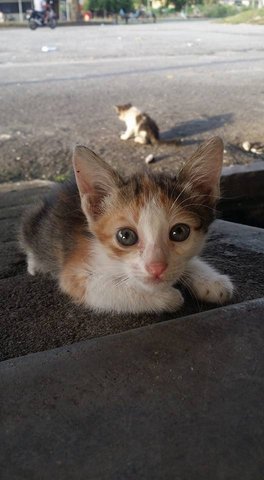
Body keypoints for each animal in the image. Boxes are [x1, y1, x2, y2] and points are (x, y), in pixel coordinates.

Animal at [20, 137, 233, 314]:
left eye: (179, 232)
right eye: (126, 236)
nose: (156, 268)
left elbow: (186, 263)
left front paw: (211, 280)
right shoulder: (75, 274)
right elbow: (109, 289)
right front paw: (165, 296)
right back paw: (34, 266)